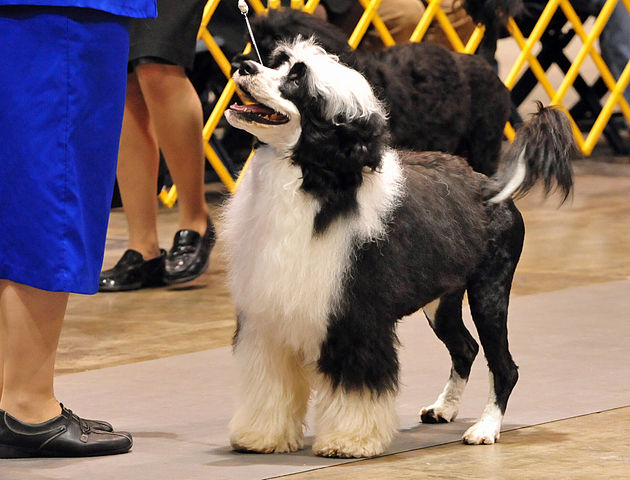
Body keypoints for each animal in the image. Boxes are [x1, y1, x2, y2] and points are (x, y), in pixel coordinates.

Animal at [223, 37, 576, 458]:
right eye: (278, 61)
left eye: (296, 79)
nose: (244, 65)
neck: (318, 182)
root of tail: (491, 186)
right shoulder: (268, 315)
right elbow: (270, 383)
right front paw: (262, 437)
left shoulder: (355, 315)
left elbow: (357, 383)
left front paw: (349, 441)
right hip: (441, 301)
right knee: (465, 348)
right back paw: (444, 408)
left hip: (489, 291)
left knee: (504, 366)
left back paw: (485, 428)